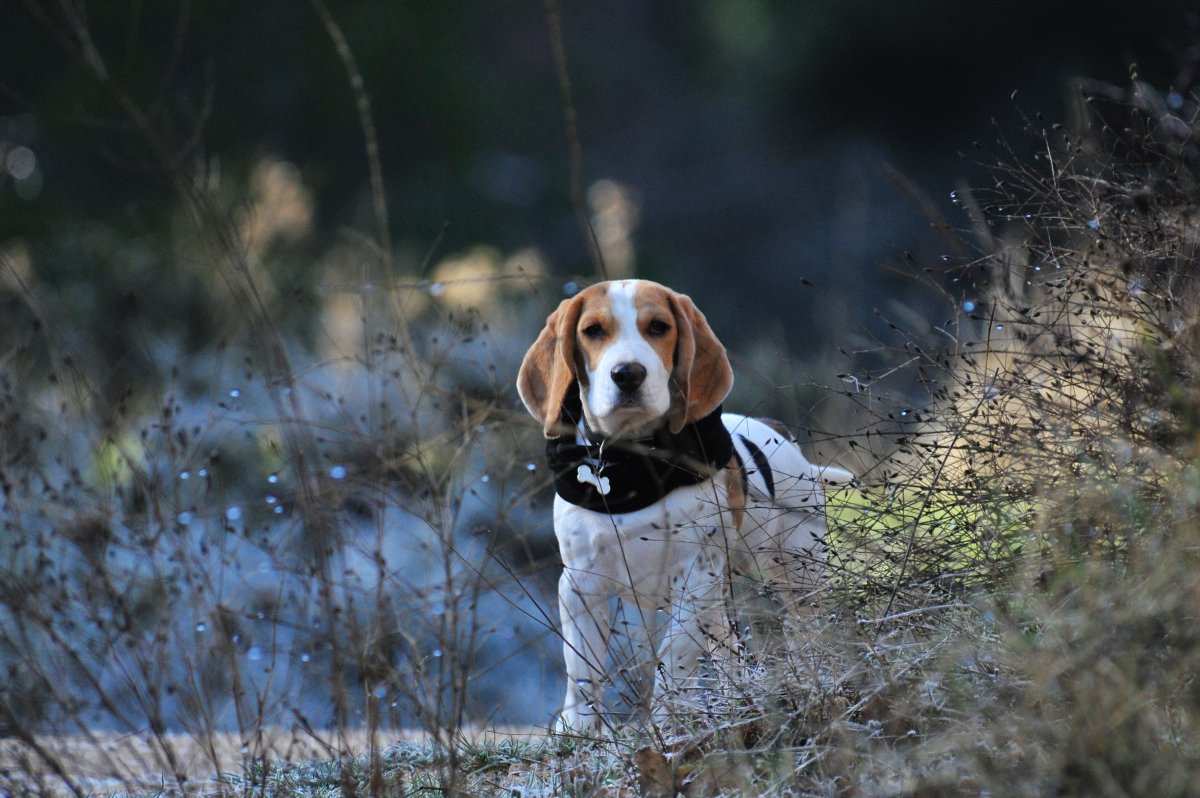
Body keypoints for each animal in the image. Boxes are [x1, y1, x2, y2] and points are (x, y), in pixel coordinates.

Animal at [518, 278, 854, 729]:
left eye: (658, 327)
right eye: (592, 331)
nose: (628, 374)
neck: (632, 467)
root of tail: (779, 434)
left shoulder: (693, 580)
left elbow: (673, 660)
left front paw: (665, 722)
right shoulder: (581, 586)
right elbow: (583, 673)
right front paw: (578, 729)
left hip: (798, 575)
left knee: (807, 633)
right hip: (722, 598)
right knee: (730, 651)